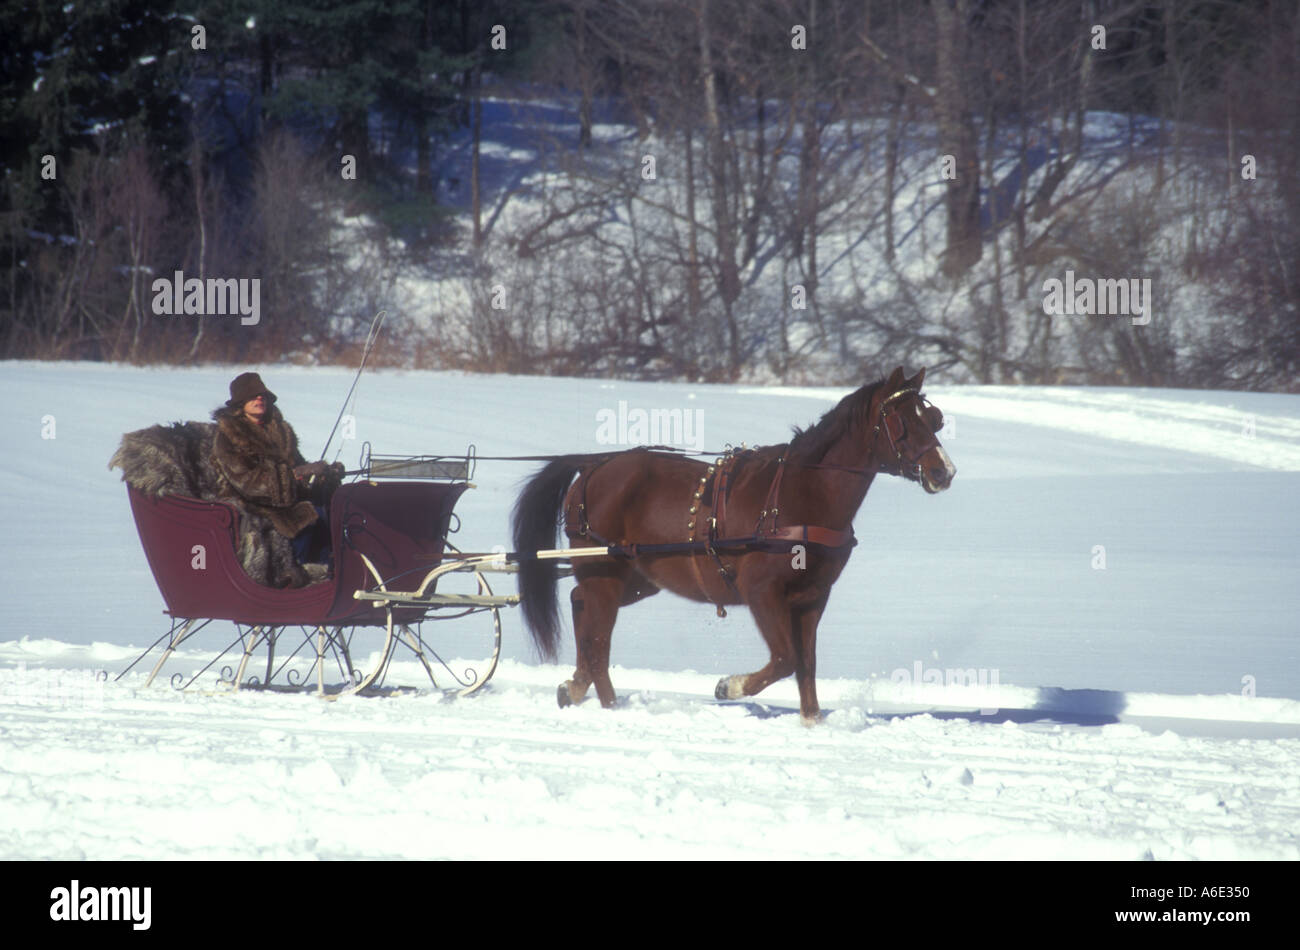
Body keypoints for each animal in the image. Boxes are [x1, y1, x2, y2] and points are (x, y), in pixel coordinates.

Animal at [510, 366, 955, 724]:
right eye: (900, 421)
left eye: (934, 419)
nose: (944, 472)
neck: (802, 493)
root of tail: (592, 466)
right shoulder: (761, 591)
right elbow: (785, 658)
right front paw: (730, 686)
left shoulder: (812, 597)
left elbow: (806, 663)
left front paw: (811, 721)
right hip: (605, 573)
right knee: (598, 637)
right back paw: (609, 705)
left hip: (636, 579)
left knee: (580, 606)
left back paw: (574, 686)